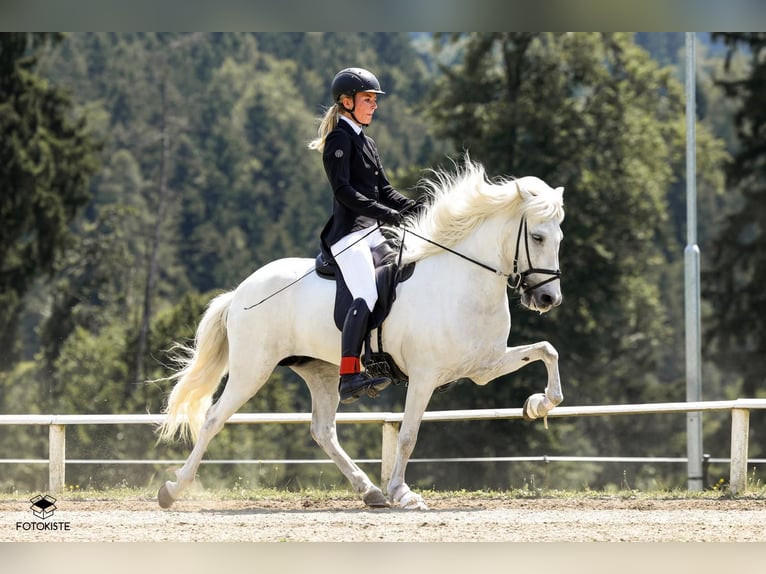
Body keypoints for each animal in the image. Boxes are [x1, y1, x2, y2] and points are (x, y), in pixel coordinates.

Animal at [156, 159, 565, 510]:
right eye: (538, 237)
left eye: (559, 237)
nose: (548, 299)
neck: (462, 281)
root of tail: (240, 292)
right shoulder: (424, 376)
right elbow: (408, 434)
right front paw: (403, 493)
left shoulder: (485, 365)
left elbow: (548, 351)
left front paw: (538, 404)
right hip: (251, 369)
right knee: (213, 418)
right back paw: (172, 489)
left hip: (319, 370)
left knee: (323, 430)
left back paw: (369, 490)